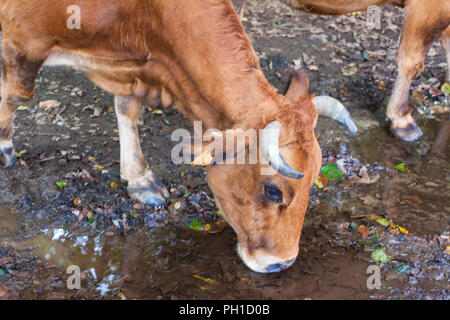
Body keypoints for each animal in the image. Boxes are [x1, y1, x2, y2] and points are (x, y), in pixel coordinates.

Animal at [0, 0, 358, 272]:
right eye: (273, 190)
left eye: (314, 179)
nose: (282, 263)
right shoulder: (23, 40)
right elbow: (17, 94)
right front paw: (4, 145)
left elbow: (128, 108)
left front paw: (139, 179)